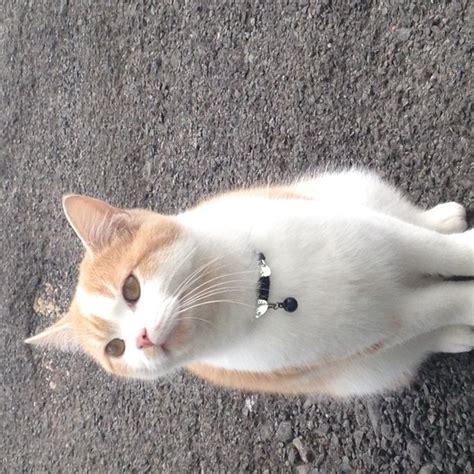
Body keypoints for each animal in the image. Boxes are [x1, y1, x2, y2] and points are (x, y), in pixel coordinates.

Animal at [26, 170, 474, 396]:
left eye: (131, 288)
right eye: (115, 349)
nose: (142, 339)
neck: (258, 292)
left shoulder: (377, 234)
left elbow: (435, 250)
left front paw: (459, 247)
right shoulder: (379, 332)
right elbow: (444, 303)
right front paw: (462, 309)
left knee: (409, 220)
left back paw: (442, 218)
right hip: (365, 372)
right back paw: (454, 335)